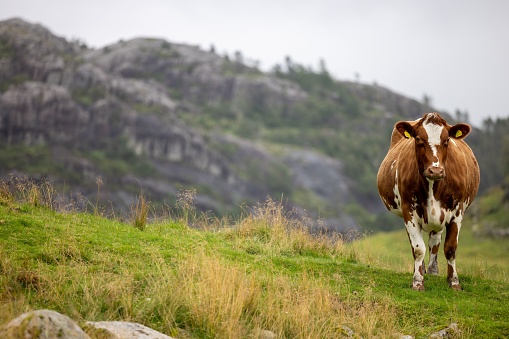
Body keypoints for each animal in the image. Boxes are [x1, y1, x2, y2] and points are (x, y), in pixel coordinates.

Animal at [378, 113, 480, 290]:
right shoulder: (408, 209)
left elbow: (450, 248)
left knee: (435, 241)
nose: (436, 170)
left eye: (446, 140)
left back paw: (433, 271)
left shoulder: (458, 210)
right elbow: (418, 248)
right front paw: (418, 281)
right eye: (419, 139)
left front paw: (454, 282)